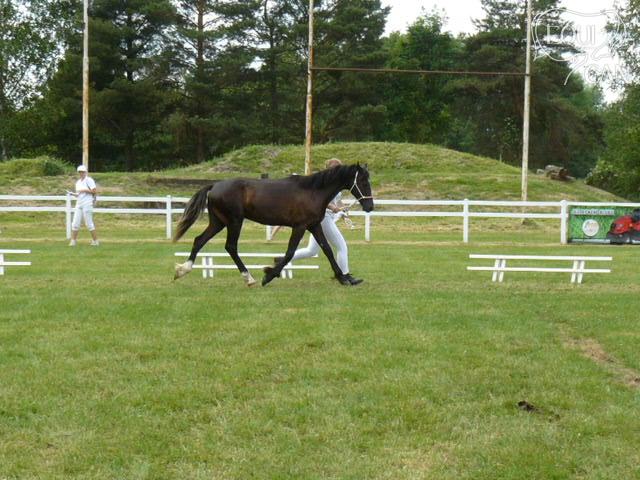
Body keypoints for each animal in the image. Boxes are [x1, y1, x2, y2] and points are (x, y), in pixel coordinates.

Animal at [172, 163, 374, 287]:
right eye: (363, 181)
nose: (370, 206)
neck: (313, 191)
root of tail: (214, 186)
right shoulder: (300, 226)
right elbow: (290, 252)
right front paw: (269, 274)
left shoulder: (314, 226)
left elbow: (328, 250)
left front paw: (345, 279)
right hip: (234, 222)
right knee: (230, 246)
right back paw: (249, 278)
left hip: (219, 222)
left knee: (199, 240)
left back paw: (183, 270)